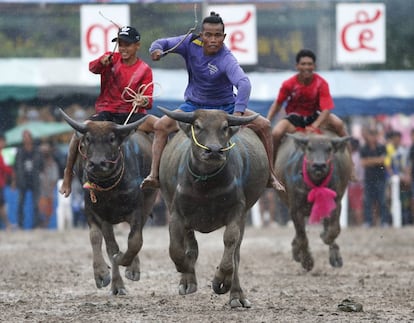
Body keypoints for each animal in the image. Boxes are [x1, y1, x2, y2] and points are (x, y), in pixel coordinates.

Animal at [60, 110, 158, 296]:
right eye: (87, 139)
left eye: (112, 138)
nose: (97, 164)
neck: (109, 188)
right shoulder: (93, 212)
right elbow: (96, 238)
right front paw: (101, 274)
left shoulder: (136, 210)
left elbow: (135, 241)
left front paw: (127, 263)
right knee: (110, 246)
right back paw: (117, 285)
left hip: (149, 201)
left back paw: (132, 269)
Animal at [158, 108, 268, 308]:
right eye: (197, 126)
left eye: (224, 127)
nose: (214, 151)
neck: (205, 185)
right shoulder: (175, 213)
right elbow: (176, 250)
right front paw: (187, 271)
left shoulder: (237, 211)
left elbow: (230, 244)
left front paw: (221, 280)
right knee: (190, 244)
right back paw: (188, 280)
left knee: (236, 254)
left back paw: (236, 295)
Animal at [274, 130, 352, 272]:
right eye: (310, 148)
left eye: (329, 149)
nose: (319, 165)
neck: (316, 184)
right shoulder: (295, 209)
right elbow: (302, 236)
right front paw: (307, 261)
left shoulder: (335, 203)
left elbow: (334, 230)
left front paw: (324, 237)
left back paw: (335, 257)